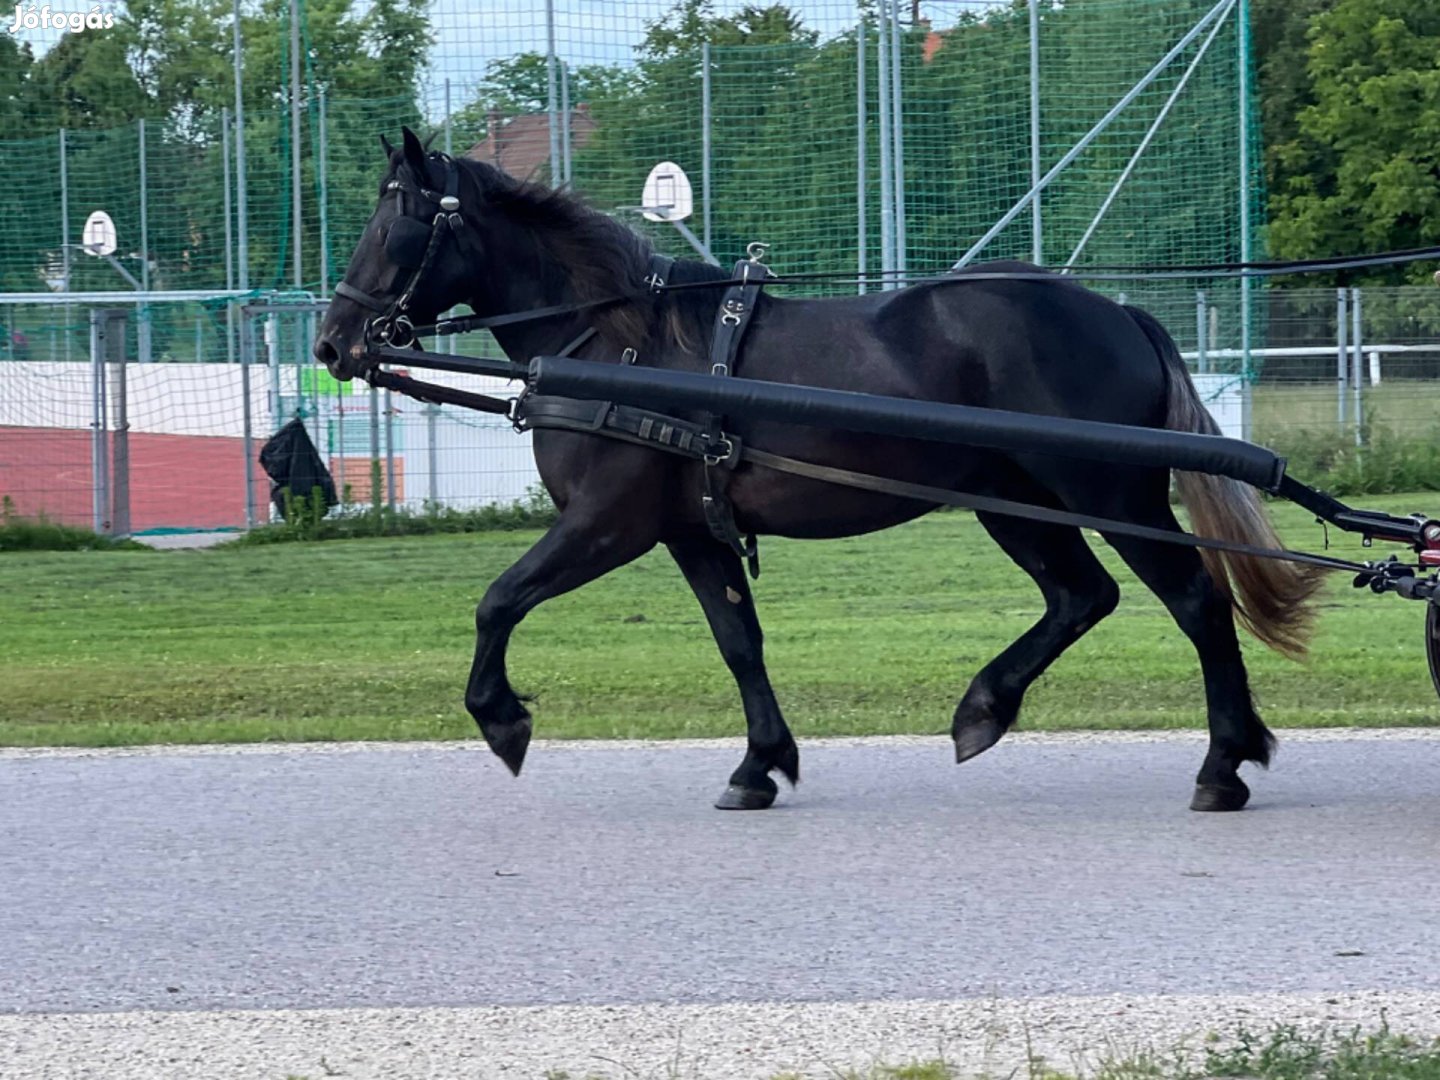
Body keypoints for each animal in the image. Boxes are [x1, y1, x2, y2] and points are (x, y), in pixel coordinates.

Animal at [321, 128, 1319, 812]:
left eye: (399, 221)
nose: (335, 342)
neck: (618, 346)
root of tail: (1117, 312)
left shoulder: (608, 523)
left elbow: (499, 600)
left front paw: (501, 717)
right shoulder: (689, 532)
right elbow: (739, 642)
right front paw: (760, 763)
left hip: (1105, 492)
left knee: (1193, 601)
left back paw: (1224, 761)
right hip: (1009, 498)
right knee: (1082, 597)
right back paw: (986, 706)